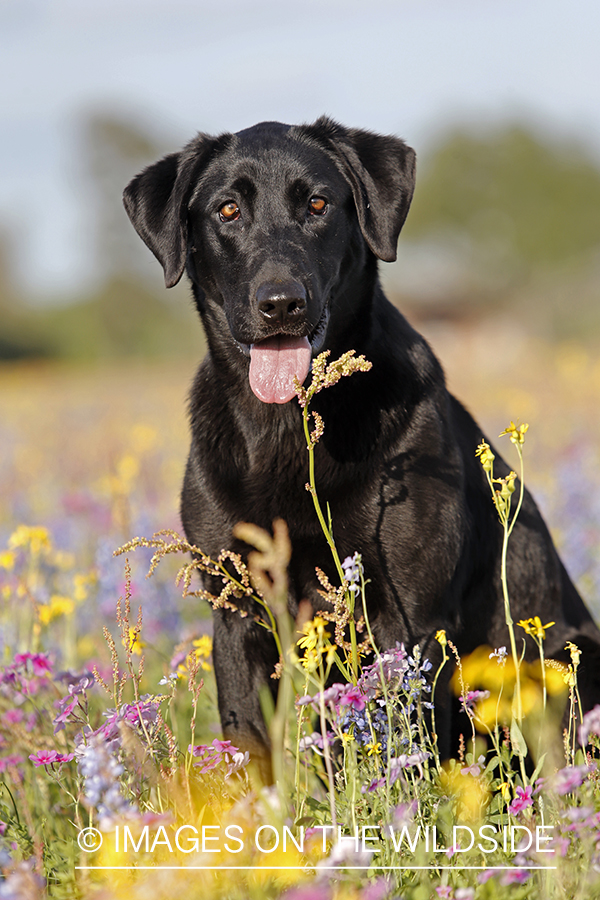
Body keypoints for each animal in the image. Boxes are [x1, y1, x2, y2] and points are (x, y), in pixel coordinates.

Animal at [122, 118, 600, 772]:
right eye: (228, 210)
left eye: (318, 204)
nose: (281, 303)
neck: (288, 430)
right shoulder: (237, 613)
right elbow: (251, 745)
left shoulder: (407, 616)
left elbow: (402, 744)